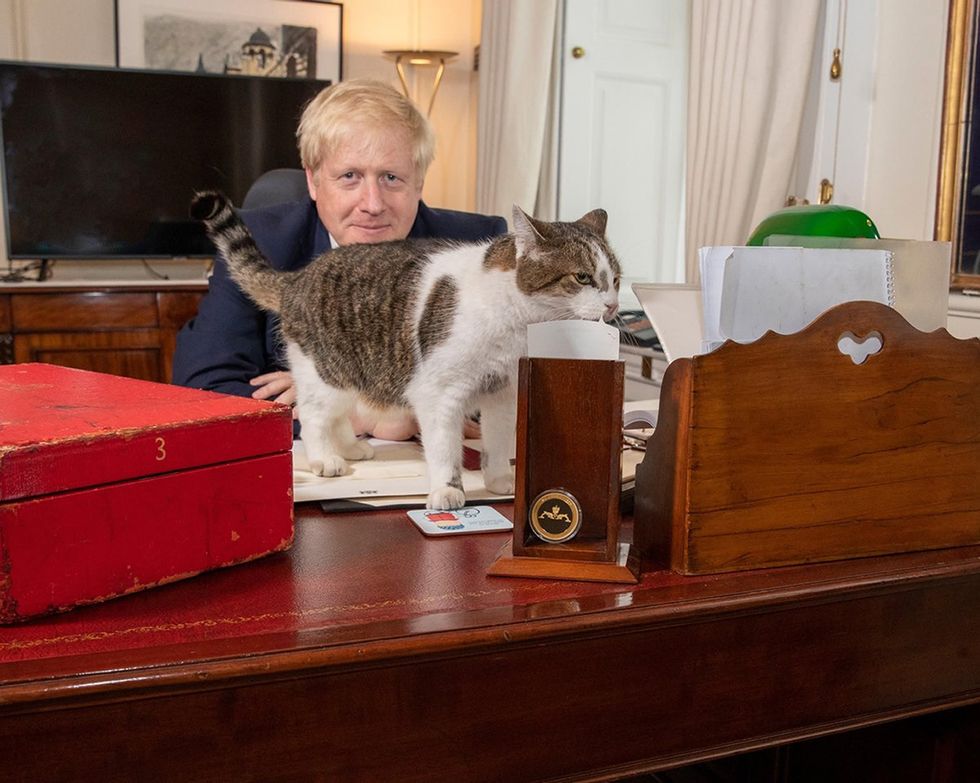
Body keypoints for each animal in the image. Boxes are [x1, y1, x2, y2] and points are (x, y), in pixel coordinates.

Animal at [189, 193, 620, 512]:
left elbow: (498, 442)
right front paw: (448, 491)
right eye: (582, 277)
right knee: (311, 415)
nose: (614, 306)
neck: (517, 323)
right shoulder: (439, 394)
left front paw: (500, 481)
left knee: (338, 416)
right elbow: (444, 448)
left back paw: (352, 448)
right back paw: (326, 459)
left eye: (615, 279)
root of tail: (297, 277)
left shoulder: (502, 391)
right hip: (327, 372)